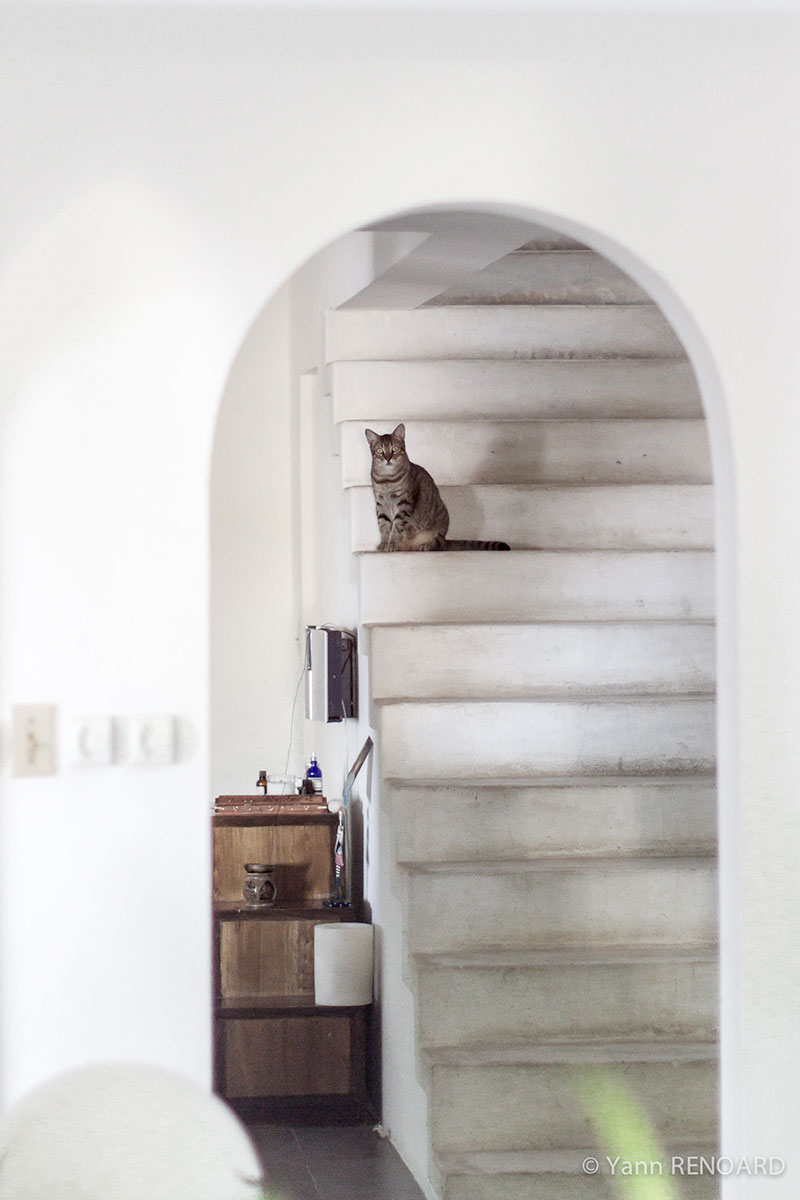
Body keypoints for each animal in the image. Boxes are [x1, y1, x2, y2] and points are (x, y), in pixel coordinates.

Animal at [367, 424, 510, 549]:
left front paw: (391, 544)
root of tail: (446, 539)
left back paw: (425, 546)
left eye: (395, 449)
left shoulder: (404, 504)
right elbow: (384, 527)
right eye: (379, 451)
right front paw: (384, 544)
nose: (388, 458)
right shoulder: (380, 504)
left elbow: (396, 527)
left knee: (438, 544)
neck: (387, 480)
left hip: (438, 529)